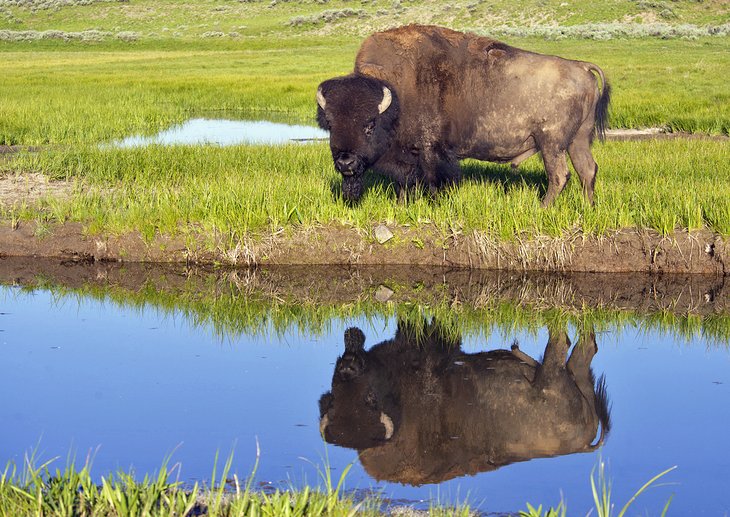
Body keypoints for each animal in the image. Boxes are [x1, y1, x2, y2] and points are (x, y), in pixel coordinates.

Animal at [316, 24, 604, 206]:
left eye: (370, 124)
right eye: (330, 123)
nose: (346, 163)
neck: (396, 93)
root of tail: (581, 67)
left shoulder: (430, 149)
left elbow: (433, 179)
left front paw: (434, 204)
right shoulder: (410, 154)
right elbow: (406, 182)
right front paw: (403, 205)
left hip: (551, 143)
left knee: (560, 175)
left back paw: (543, 207)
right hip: (577, 140)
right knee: (587, 170)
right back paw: (587, 207)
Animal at [318, 320, 608, 486]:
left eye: (369, 396)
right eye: (334, 396)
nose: (348, 365)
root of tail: (580, 445)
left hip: (552, 375)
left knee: (563, 344)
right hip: (570, 376)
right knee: (580, 348)